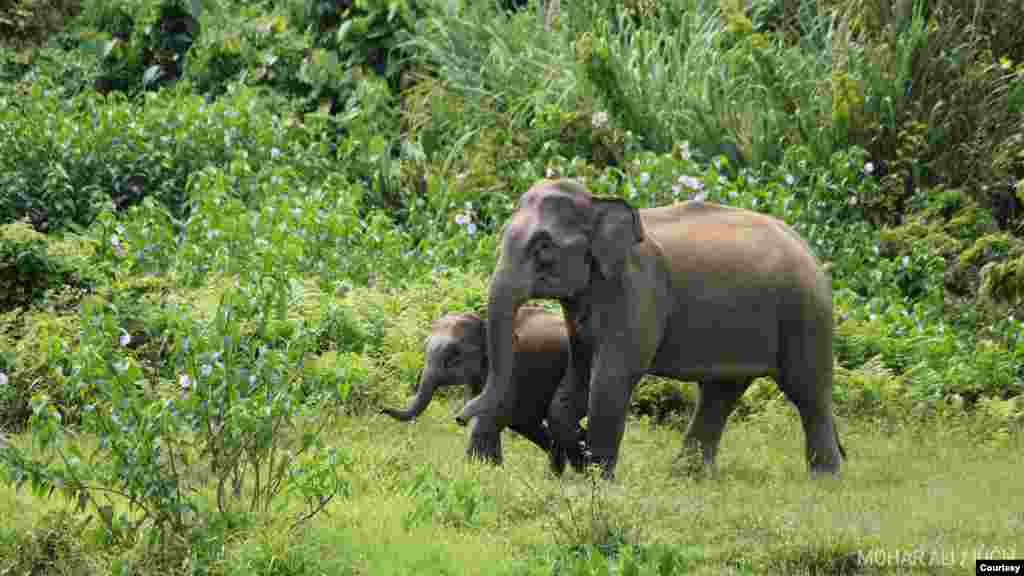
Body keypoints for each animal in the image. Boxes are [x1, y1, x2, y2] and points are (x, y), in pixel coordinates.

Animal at [380, 307, 589, 473]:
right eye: (424, 348)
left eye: (454, 354)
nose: (381, 409)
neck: (484, 322)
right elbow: (510, 419)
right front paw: (493, 469)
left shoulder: (514, 367)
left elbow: (495, 415)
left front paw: (475, 470)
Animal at [460, 177, 843, 477]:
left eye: (543, 247)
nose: (459, 417)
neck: (598, 202)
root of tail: (809, 249)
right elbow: (578, 373)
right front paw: (577, 459)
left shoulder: (637, 290)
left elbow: (611, 377)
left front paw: (596, 479)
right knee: (722, 391)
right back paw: (688, 475)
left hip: (805, 312)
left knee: (807, 390)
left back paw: (823, 478)